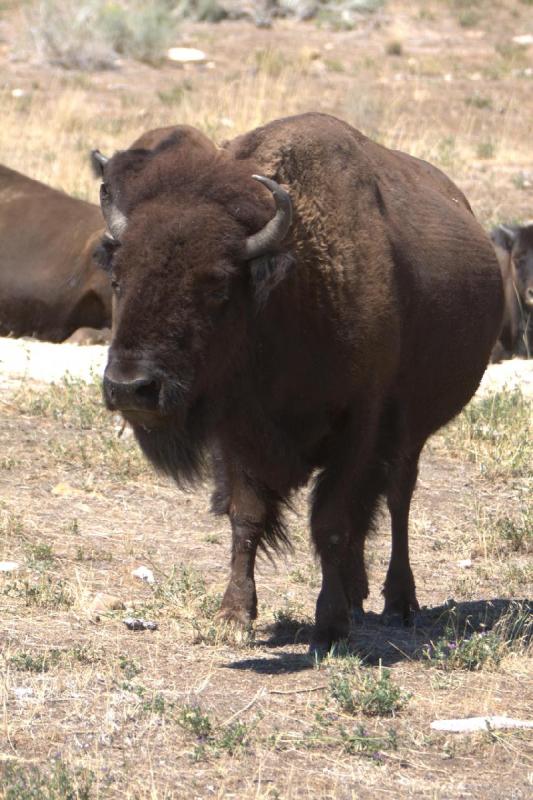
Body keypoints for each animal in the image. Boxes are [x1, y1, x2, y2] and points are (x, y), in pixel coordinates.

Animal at [92, 114, 502, 656]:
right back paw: (357, 594)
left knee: (397, 501)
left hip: (411, 435)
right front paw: (234, 614)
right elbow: (246, 516)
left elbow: (330, 522)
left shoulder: (359, 428)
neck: (294, 291)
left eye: (217, 285)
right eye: (118, 278)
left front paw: (329, 627)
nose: (130, 387)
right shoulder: (236, 436)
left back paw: (398, 602)